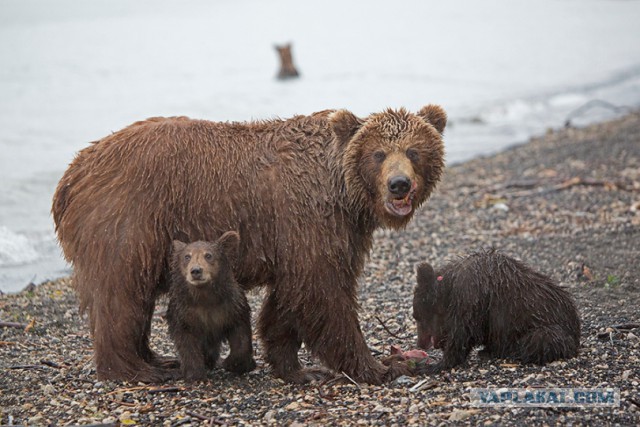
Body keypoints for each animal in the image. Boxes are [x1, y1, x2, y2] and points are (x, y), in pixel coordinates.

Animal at [52, 106, 444, 384]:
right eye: (378, 153)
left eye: (414, 151)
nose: (399, 184)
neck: (344, 191)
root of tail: (71, 172)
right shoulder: (309, 218)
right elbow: (323, 292)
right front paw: (379, 366)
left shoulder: (318, 232)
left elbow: (291, 298)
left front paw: (296, 367)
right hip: (128, 218)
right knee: (120, 295)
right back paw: (138, 368)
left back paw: (156, 357)